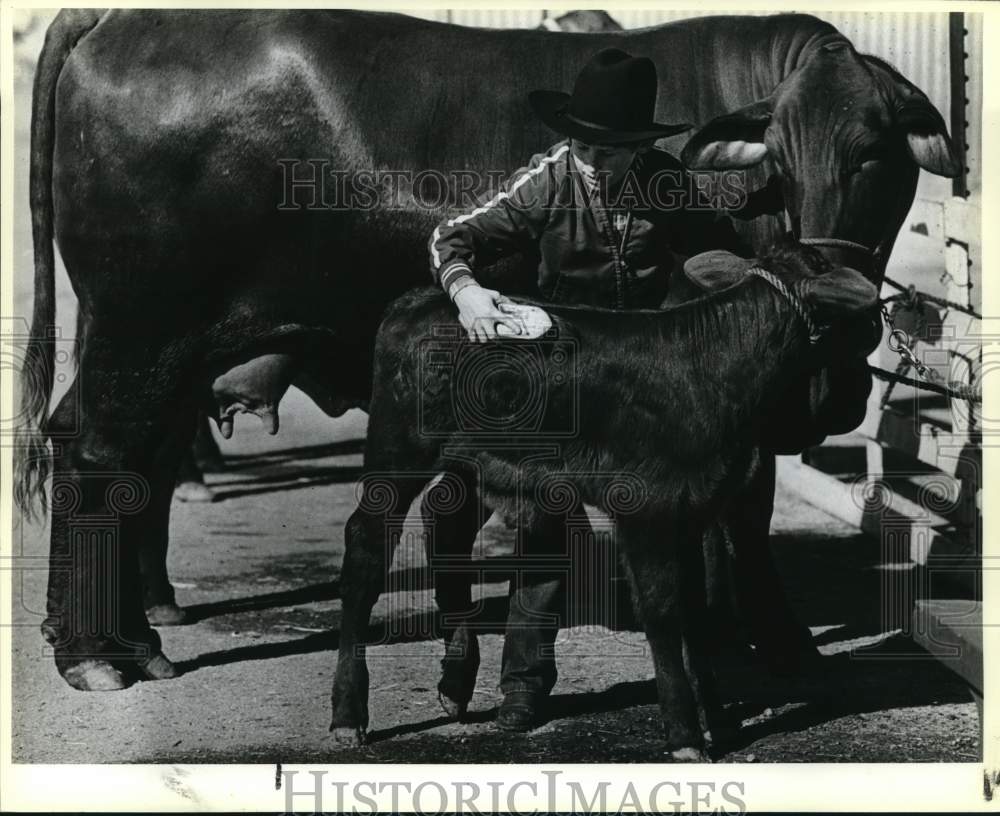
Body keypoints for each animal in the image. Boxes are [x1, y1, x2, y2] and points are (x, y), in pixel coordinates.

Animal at [13, 9, 952, 692]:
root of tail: (120, 20)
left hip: (160, 344)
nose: (837, 285)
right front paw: (779, 643)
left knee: (115, 452)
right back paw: (93, 655)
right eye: (782, 164)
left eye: (875, 158)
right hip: (144, 328)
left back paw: (134, 636)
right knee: (101, 452)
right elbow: (746, 511)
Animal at [332, 237, 880, 760]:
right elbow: (663, 612)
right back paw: (347, 716)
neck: (716, 365)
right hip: (395, 451)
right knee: (365, 554)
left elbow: (696, 611)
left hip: (473, 457)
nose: (877, 325)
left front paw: (716, 719)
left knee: (445, 523)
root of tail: (416, 300)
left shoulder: (693, 509)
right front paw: (684, 734)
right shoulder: (647, 507)